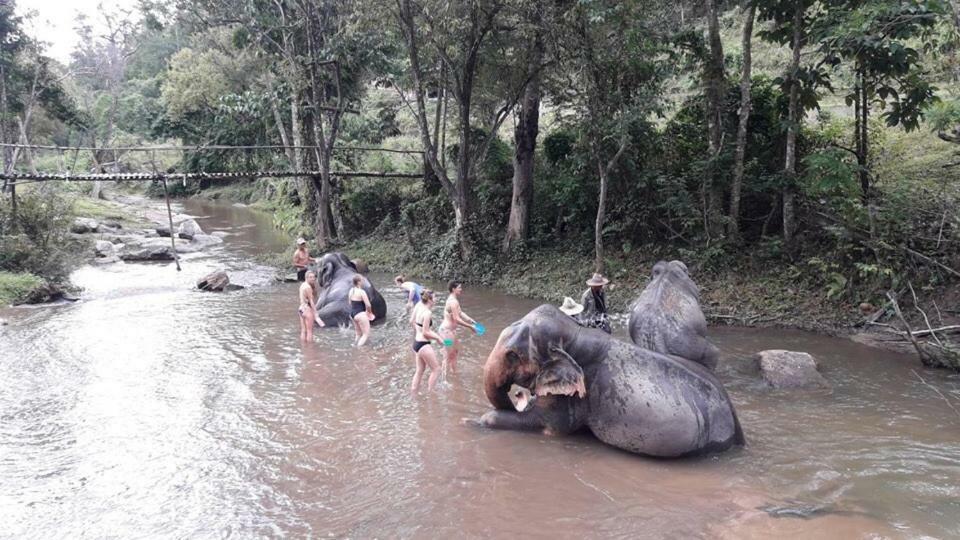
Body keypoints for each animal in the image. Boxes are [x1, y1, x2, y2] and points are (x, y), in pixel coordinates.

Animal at [470, 306, 744, 458]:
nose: (517, 395)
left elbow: (548, 425)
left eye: (512, 355)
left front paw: (472, 421)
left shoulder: (576, 395)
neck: (576, 332)